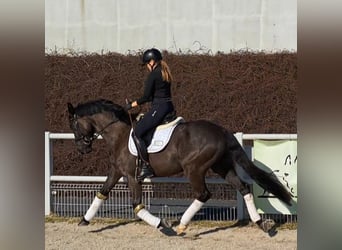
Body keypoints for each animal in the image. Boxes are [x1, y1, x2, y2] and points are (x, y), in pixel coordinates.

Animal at [68, 98, 292, 234]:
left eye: (74, 124)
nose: (81, 148)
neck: (120, 134)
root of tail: (221, 130)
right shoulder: (116, 172)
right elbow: (102, 193)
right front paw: (84, 220)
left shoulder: (132, 176)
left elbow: (137, 206)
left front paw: (163, 224)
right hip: (222, 167)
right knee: (243, 188)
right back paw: (261, 223)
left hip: (194, 169)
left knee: (203, 194)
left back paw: (181, 226)